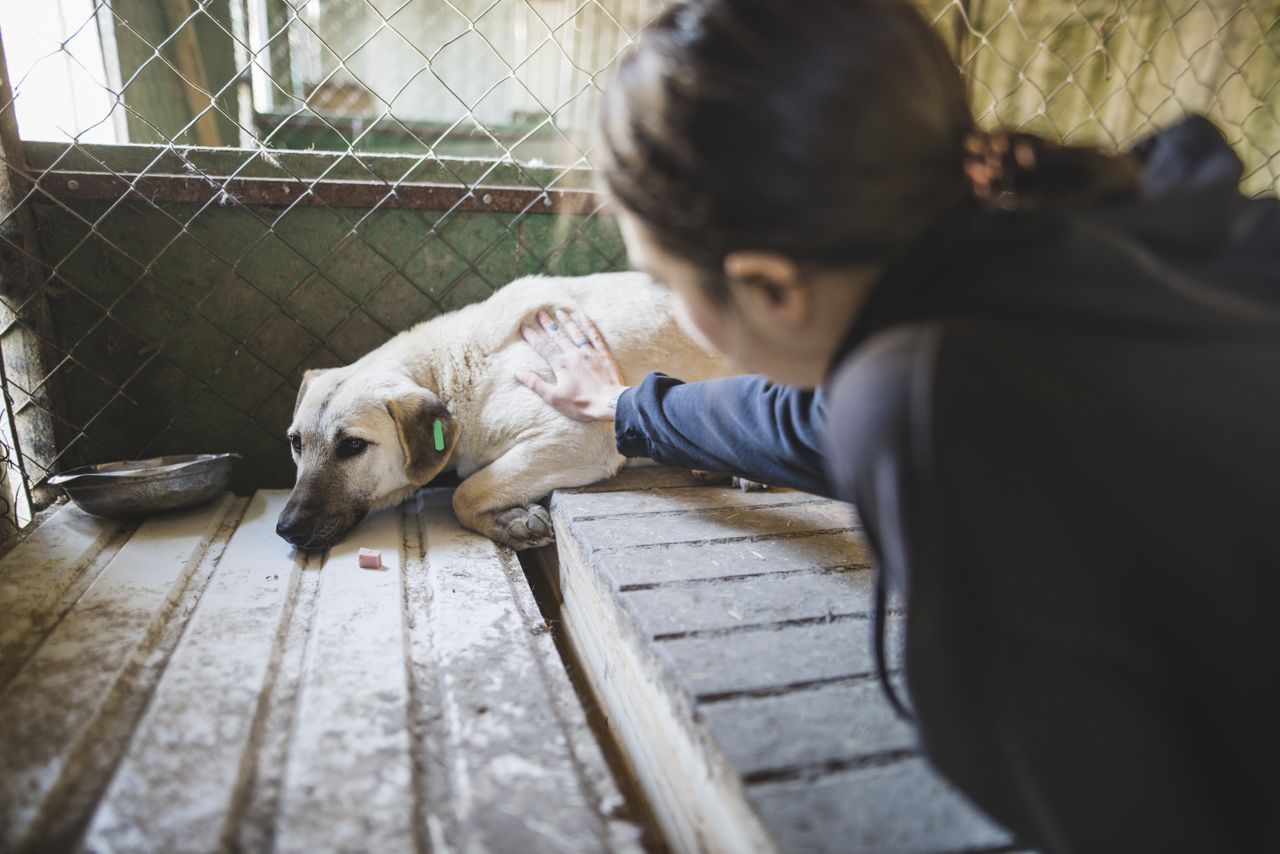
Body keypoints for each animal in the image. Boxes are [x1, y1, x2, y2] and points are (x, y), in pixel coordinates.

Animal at [277, 273, 732, 555]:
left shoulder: (575, 437)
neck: (456, 367)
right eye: (296, 443)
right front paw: (510, 521)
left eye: (353, 445)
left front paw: (507, 521)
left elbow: (464, 493)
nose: (286, 528)